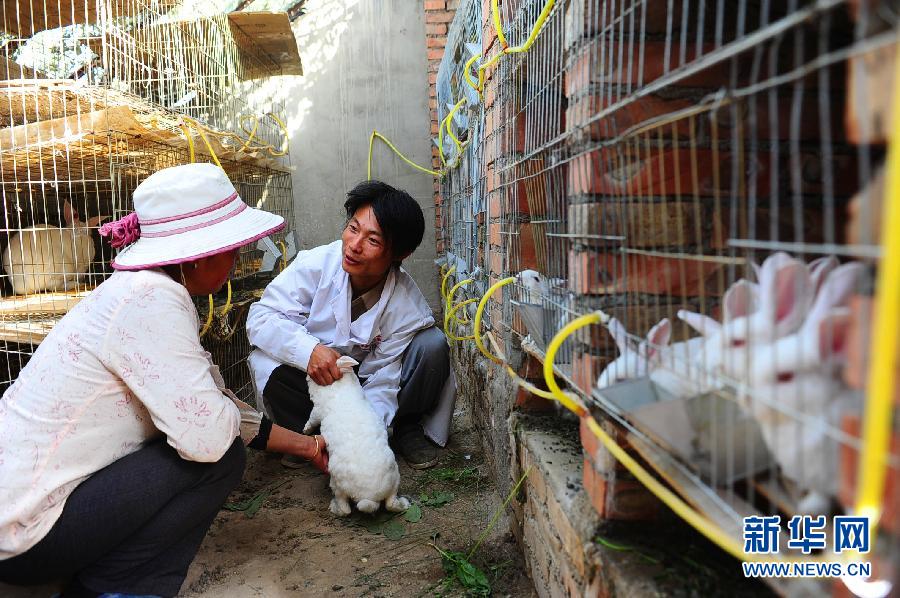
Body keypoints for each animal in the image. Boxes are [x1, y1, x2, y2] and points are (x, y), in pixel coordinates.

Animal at [306, 358, 412, 516]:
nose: (307, 374)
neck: (342, 386)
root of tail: (369, 497)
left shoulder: (318, 410)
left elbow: (312, 419)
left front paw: (305, 430)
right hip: (395, 480)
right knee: (390, 504)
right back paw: (404, 504)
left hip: (337, 485)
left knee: (345, 509)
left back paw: (334, 507)